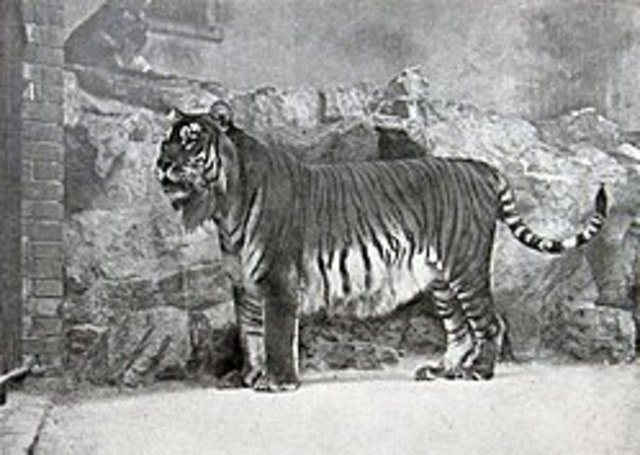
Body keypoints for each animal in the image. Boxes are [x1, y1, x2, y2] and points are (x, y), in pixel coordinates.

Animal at [156, 101, 608, 392]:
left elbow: (276, 335)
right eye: (166, 142)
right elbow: (249, 335)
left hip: (465, 267)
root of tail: (478, 166)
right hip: (441, 280)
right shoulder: (244, 284)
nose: (162, 164)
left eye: (191, 140)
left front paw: (277, 382)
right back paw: (441, 370)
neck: (225, 205)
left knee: (490, 323)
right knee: (459, 329)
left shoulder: (277, 281)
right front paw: (246, 378)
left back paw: (479, 371)